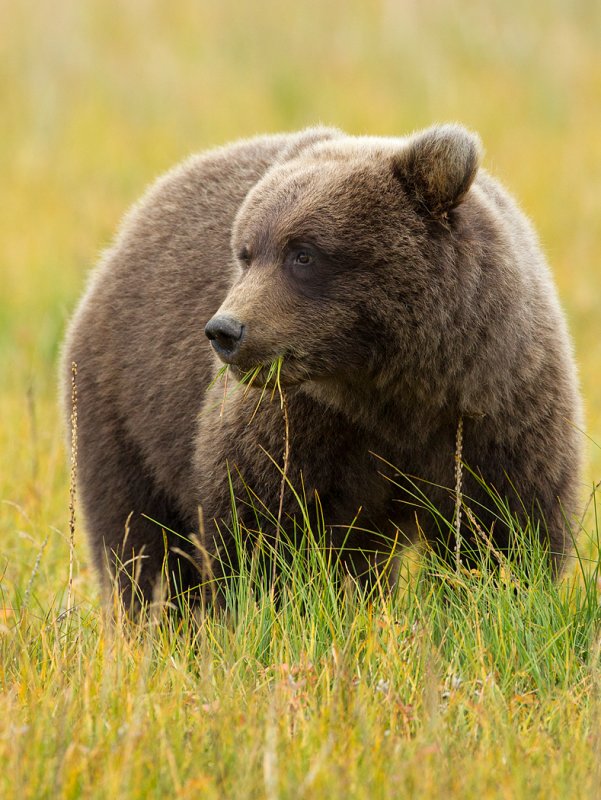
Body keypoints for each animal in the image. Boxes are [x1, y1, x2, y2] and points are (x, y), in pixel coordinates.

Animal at [63, 122, 584, 604]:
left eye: (303, 254)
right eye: (246, 253)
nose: (225, 331)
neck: (390, 388)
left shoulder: (497, 409)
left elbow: (502, 534)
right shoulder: (297, 423)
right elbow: (258, 527)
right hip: (125, 407)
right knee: (139, 541)